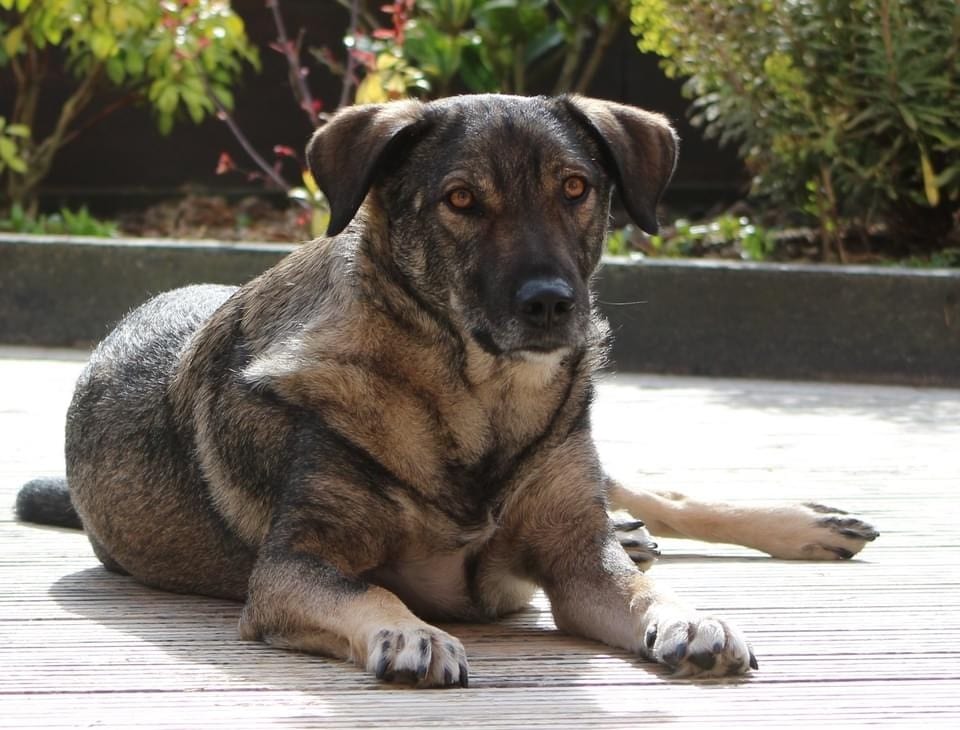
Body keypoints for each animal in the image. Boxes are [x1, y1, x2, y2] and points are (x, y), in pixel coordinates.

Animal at [13, 95, 876, 684]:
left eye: (575, 188)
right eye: (461, 200)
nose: (550, 303)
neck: (476, 399)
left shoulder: (579, 565)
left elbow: (638, 589)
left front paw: (690, 615)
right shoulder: (293, 570)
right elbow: (367, 592)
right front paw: (412, 633)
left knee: (642, 492)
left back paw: (800, 524)